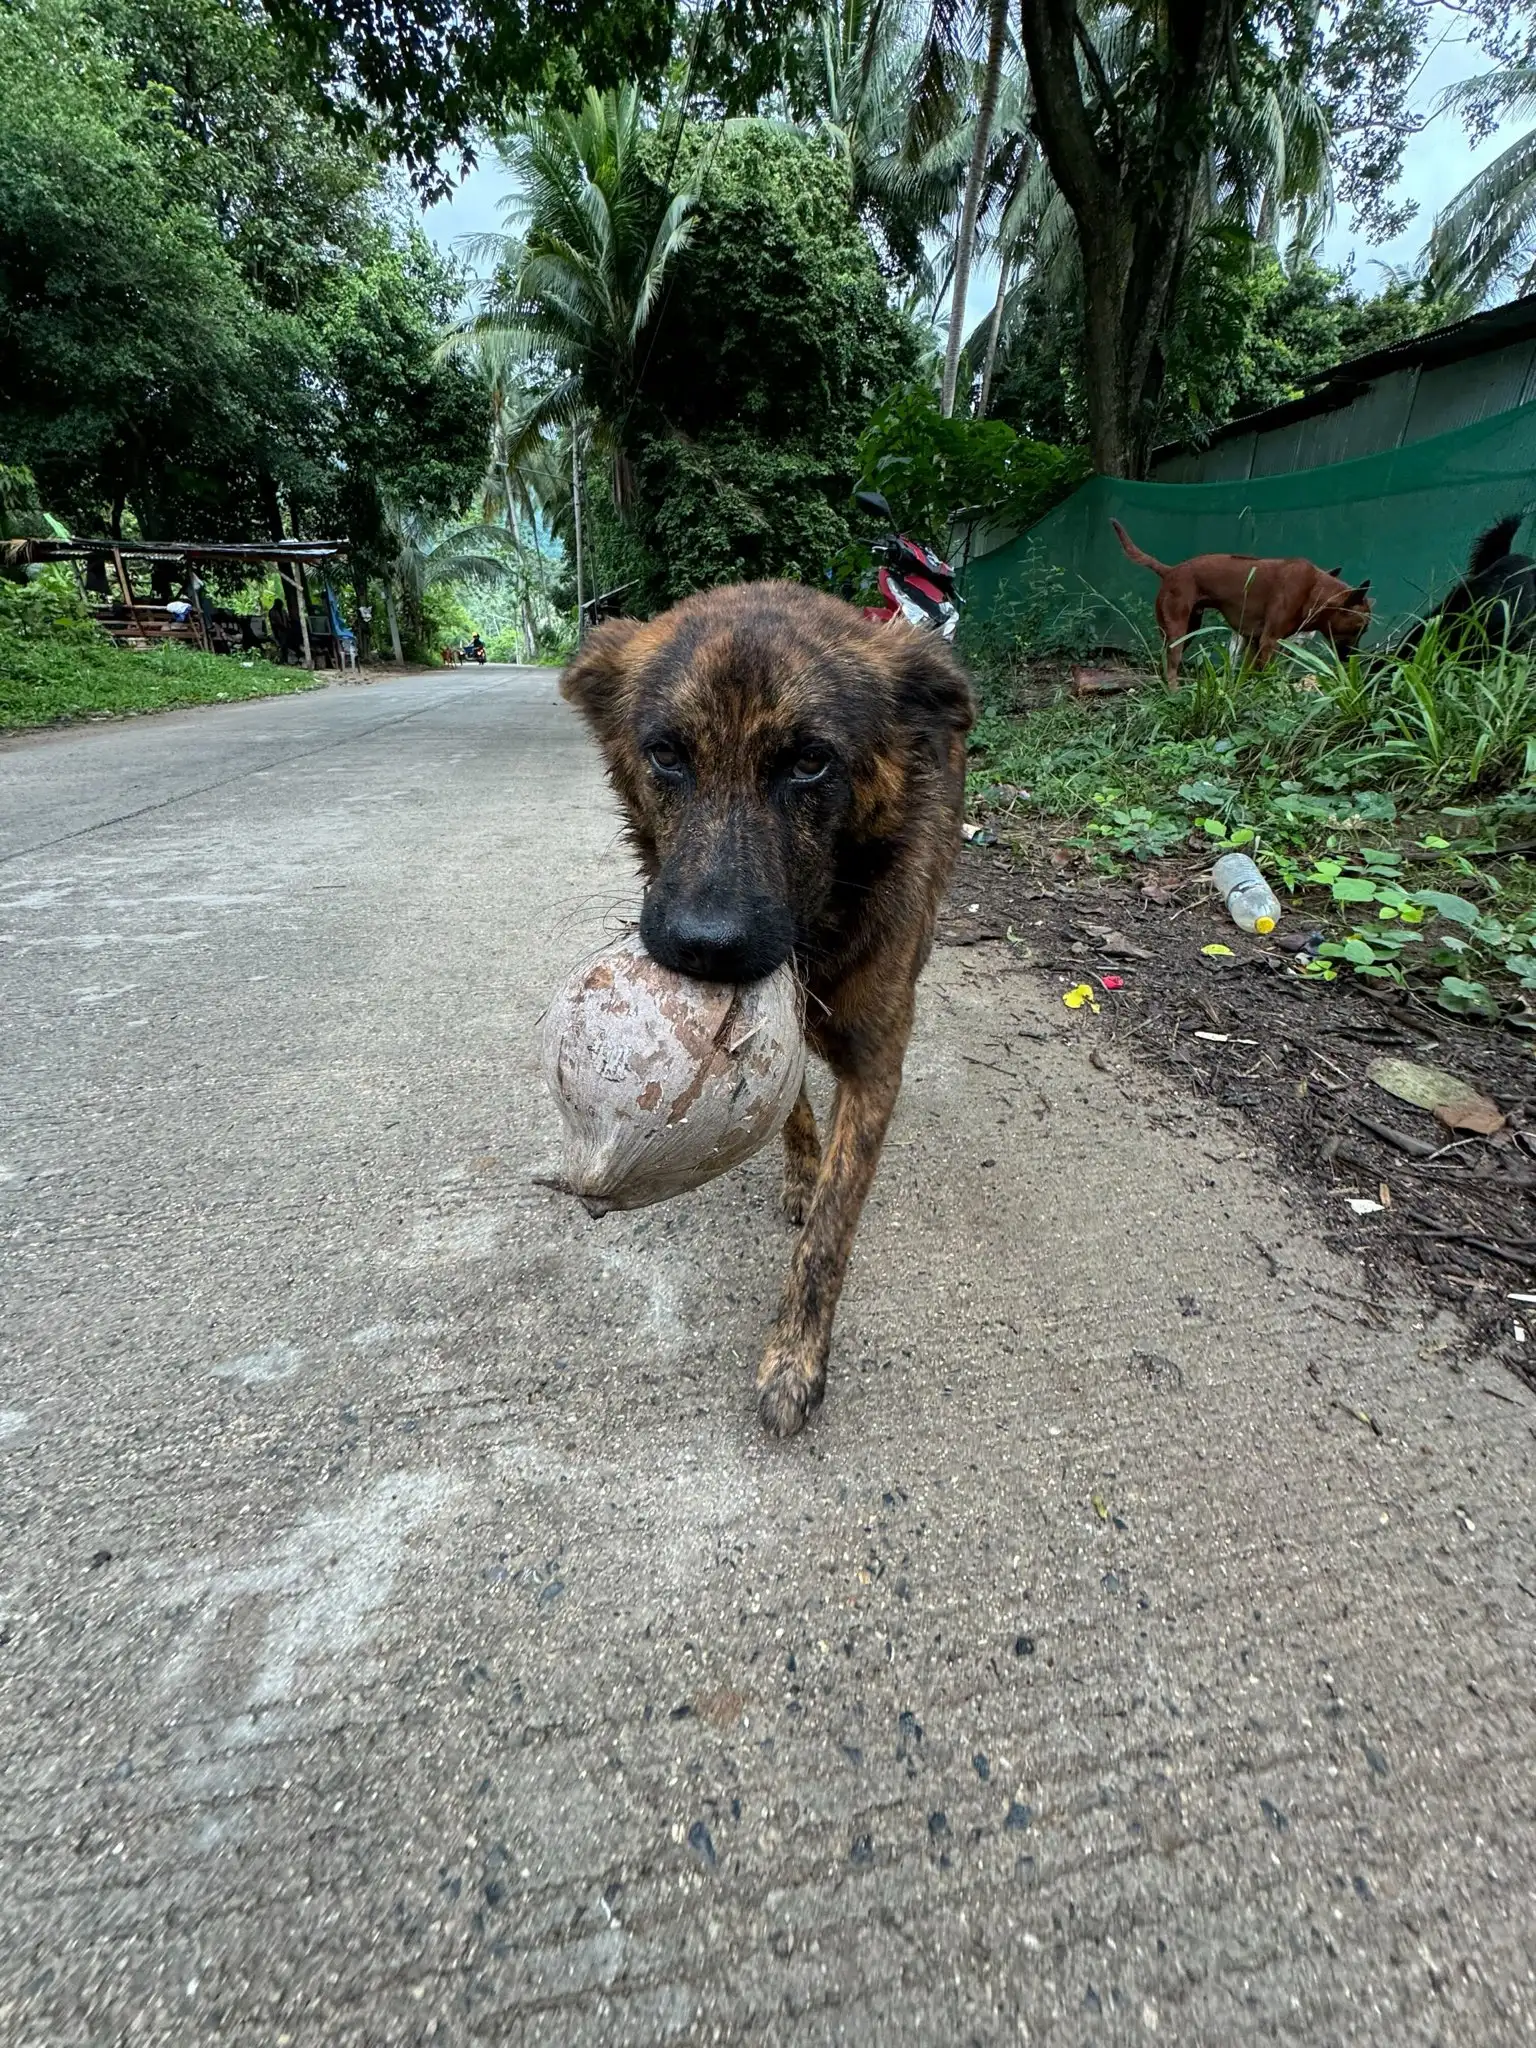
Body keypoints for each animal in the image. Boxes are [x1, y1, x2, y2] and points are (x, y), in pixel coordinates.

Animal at [561, 577, 974, 1441]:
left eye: (811, 762)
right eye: (666, 754)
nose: (706, 947)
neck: (817, 931)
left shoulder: (877, 1064)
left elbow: (829, 1235)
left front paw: (794, 1360)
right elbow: (790, 1107)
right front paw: (800, 1171)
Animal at [1114, 520, 1376, 679]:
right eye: (1361, 628)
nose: (1355, 659)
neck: (1314, 590)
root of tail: (1170, 571)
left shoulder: (1255, 642)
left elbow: (1249, 676)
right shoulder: (1269, 642)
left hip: (1189, 629)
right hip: (1178, 631)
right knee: (1170, 670)